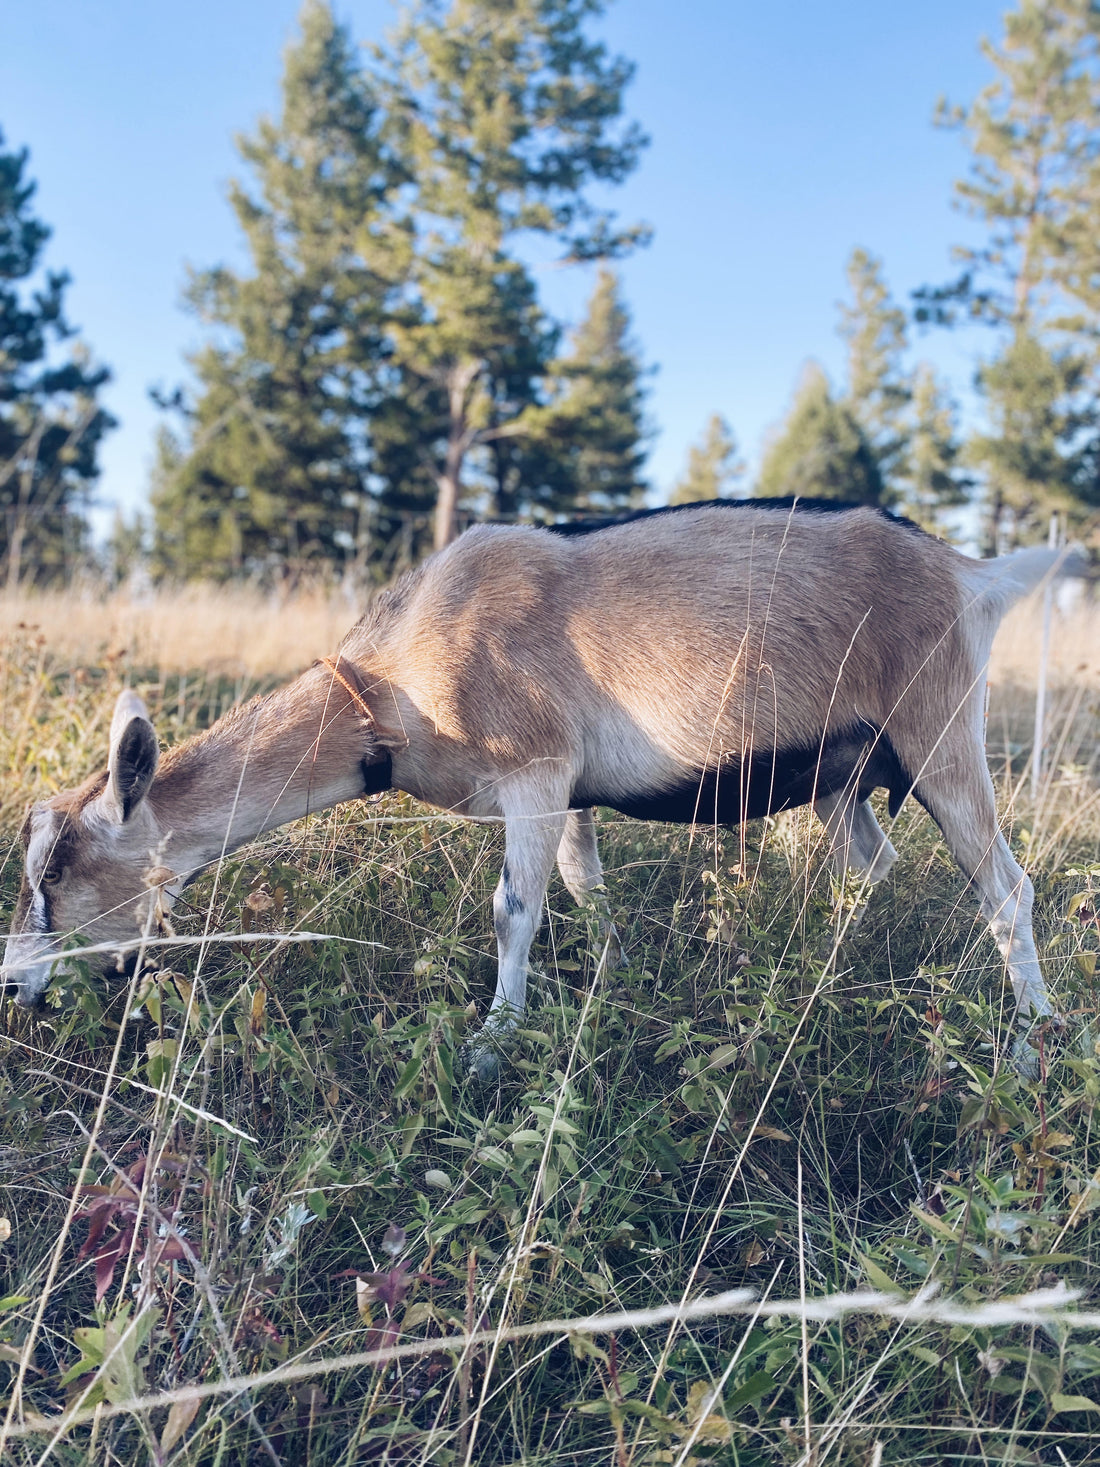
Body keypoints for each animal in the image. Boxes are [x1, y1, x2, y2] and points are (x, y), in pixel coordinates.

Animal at [0, 504, 1085, 1079]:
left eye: (53, 872)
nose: (12, 986)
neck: (386, 687)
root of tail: (971, 575)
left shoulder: (532, 765)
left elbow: (514, 908)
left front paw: (492, 1045)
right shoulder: (567, 792)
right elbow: (582, 890)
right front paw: (609, 987)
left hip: (938, 726)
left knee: (1006, 888)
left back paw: (1033, 1042)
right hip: (843, 770)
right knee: (874, 861)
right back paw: (824, 966)